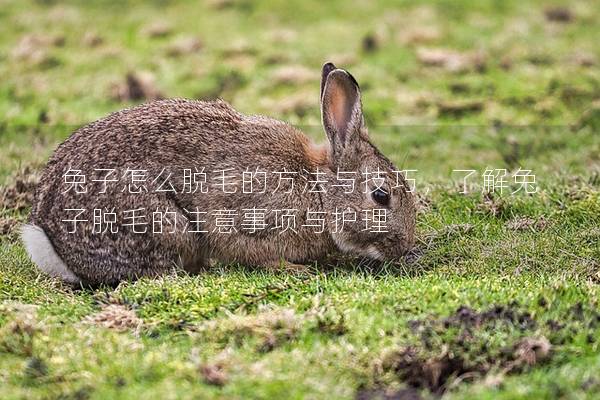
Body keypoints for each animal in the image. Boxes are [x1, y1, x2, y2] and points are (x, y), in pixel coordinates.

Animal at [23, 62, 418, 286]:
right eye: (381, 196)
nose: (404, 247)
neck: (319, 191)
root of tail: (51, 243)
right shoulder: (246, 214)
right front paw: (293, 270)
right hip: (159, 223)